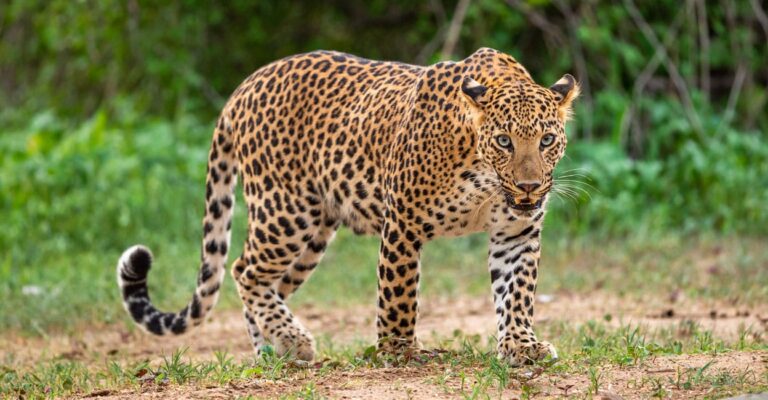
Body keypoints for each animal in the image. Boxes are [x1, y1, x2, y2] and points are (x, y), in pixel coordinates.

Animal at [116, 47, 579, 366]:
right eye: (504, 141)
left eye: (546, 140)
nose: (529, 186)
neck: (484, 177)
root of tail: (243, 87)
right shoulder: (403, 223)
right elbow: (399, 295)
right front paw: (398, 352)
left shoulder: (517, 232)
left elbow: (517, 292)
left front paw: (521, 346)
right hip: (285, 212)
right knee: (244, 270)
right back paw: (292, 341)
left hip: (313, 235)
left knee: (266, 284)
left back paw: (273, 349)